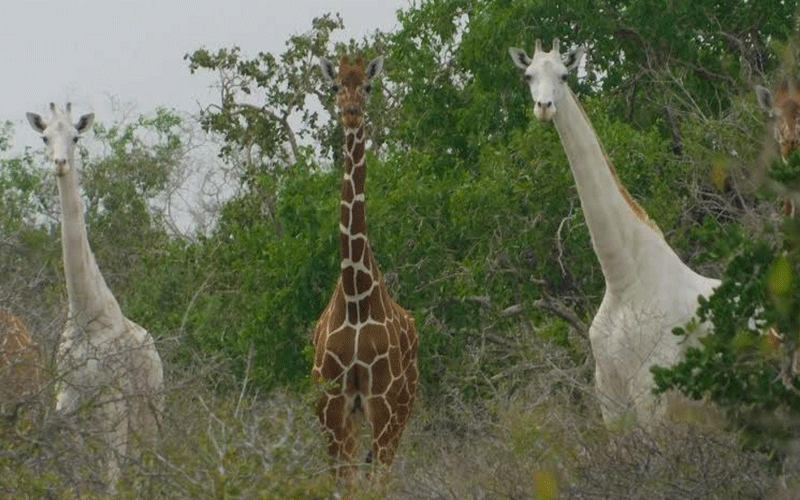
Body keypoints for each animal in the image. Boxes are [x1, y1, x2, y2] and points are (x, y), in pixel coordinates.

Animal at [26, 102, 164, 492]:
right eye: (45, 137)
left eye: (75, 136)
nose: (60, 163)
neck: (86, 310)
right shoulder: (68, 404)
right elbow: (75, 479)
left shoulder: (114, 403)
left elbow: (111, 482)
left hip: (150, 410)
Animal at [310, 54, 418, 476]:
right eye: (336, 85)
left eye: (368, 86)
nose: (351, 111)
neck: (356, 297)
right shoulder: (333, 408)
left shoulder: (383, 404)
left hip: (402, 410)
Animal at [512, 41, 724, 428]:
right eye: (529, 76)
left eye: (564, 76)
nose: (545, 108)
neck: (624, 278)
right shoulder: (609, 398)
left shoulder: (651, 397)